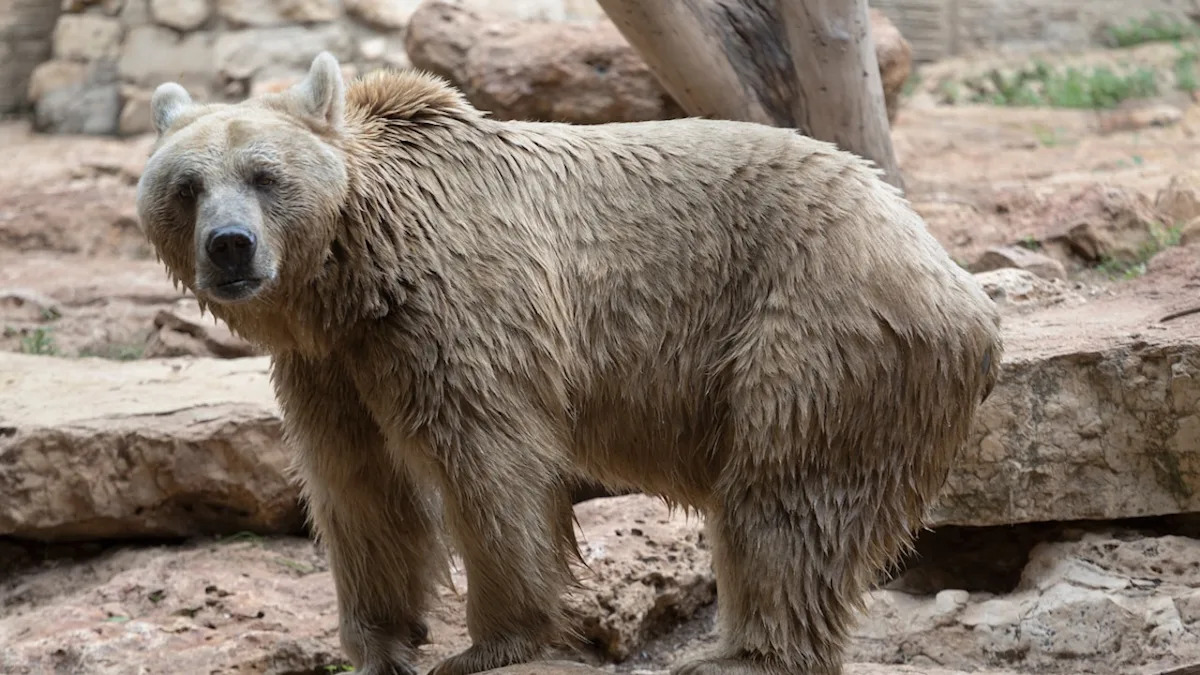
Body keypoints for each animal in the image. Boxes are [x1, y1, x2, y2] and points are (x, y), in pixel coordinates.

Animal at [134, 52, 1002, 675]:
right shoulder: (331, 365)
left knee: (786, 493)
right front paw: (380, 642)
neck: (357, 272)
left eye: (264, 175)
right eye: (187, 185)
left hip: (817, 325)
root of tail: (950, 271)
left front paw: (489, 641)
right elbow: (357, 485)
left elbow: (489, 462)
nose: (230, 246)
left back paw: (741, 654)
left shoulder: (456, 307)